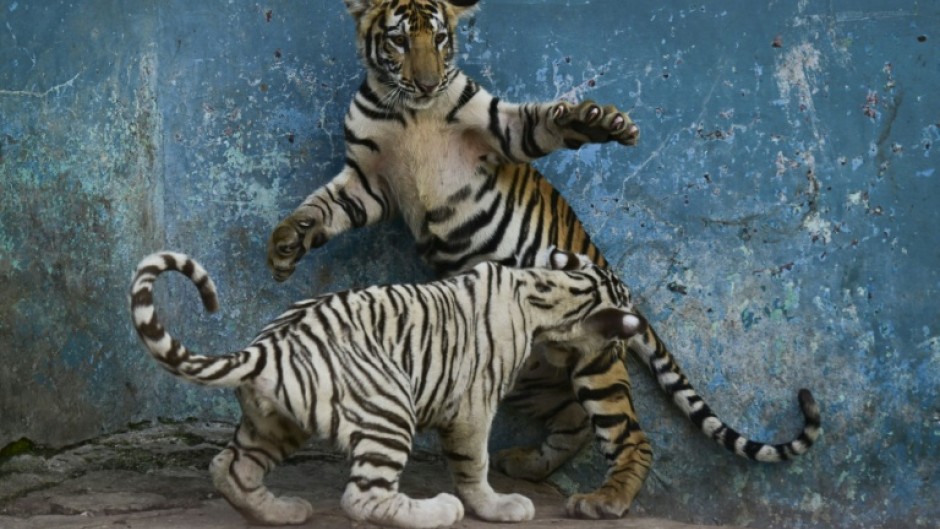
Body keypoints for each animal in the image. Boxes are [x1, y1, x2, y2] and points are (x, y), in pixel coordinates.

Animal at [130, 248, 649, 527]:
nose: (624, 347)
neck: (552, 289)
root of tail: (266, 348)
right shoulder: (473, 406)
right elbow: (474, 465)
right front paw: (497, 505)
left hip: (274, 422)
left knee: (229, 468)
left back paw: (283, 511)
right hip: (389, 408)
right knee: (364, 497)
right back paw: (439, 510)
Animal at [266, 0, 822, 519]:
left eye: (440, 40)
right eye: (399, 41)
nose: (425, 83)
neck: (412, 110)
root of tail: (623, 287)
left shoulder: (497, 131)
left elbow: (544, 123)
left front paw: (603, 122)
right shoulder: (370, 180)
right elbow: (322, 208)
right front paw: (285, 245)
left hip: (596, 362)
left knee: (631, 438)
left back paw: (606, 500)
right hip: (527, 372)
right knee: (574, 423)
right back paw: (528, 465)